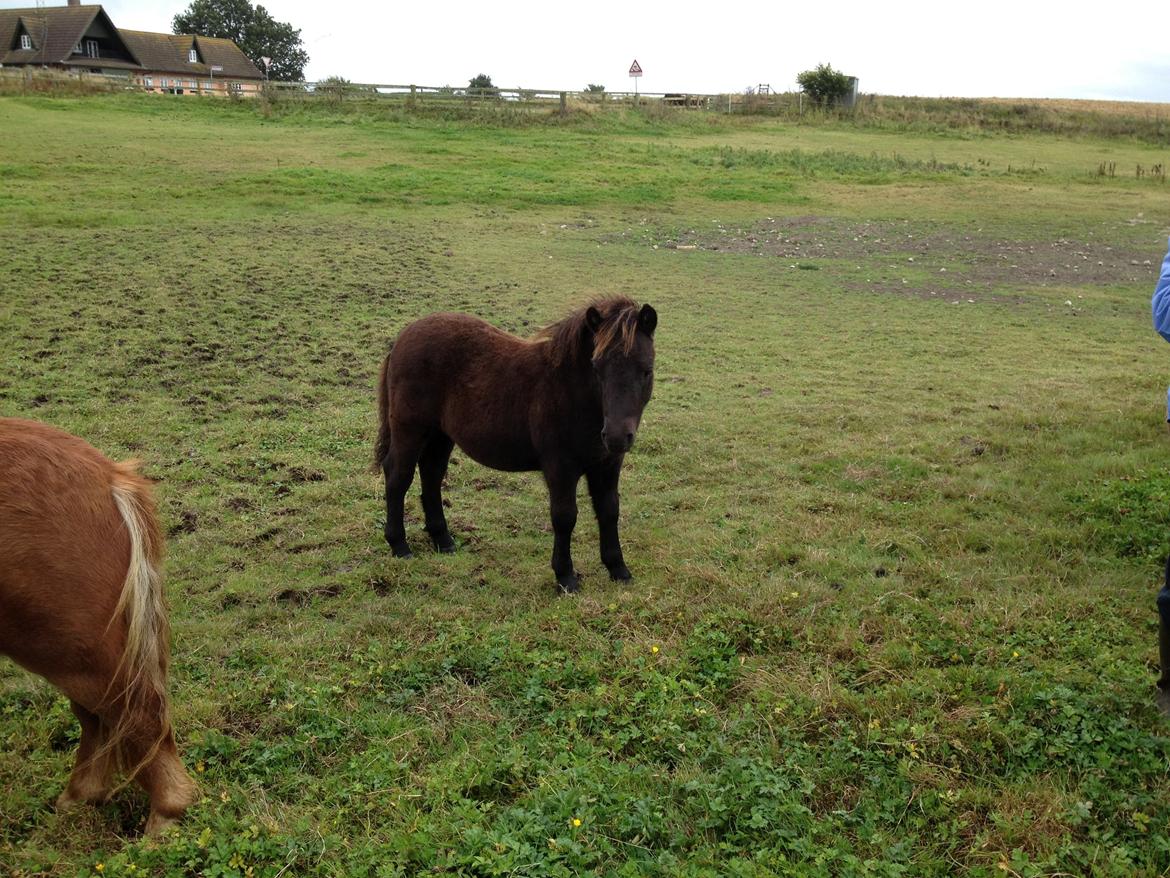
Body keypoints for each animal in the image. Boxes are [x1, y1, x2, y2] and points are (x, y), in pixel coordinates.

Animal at [374, 299, 655, 594]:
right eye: (596, 368)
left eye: (647, 370)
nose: (616, 437)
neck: (571, 392)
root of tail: (402, 338)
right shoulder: (560, 467)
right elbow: (564, 517)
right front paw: (566, 577)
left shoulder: (607, 465)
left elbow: (609, 510)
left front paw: (618, 569)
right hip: (410, 429)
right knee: (398, 476)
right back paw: (399, 545)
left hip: (440, 434)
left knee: (431, 475)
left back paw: (444, 541)